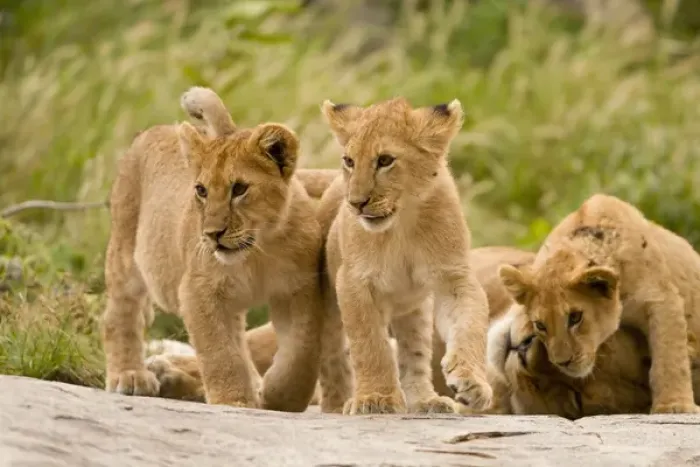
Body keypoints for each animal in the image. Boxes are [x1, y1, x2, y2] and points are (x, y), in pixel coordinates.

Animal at [101, 86, 330, 412]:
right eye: (201, 190)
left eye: (239, 189)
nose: (212, 234)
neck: (259, 251)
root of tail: (153, 131)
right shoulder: (199, 291)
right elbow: (220, 353)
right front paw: (234, 401)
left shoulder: (299, 289)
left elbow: (301, 352)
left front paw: (280, 397)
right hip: (126, 250)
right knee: (120, 313)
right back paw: (130, 374)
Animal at [498, 193, 700, 413]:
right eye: (540, 325)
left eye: (575, 317)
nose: (563, 363)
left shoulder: (660, 297)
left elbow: (669, 356)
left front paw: (674, 405)